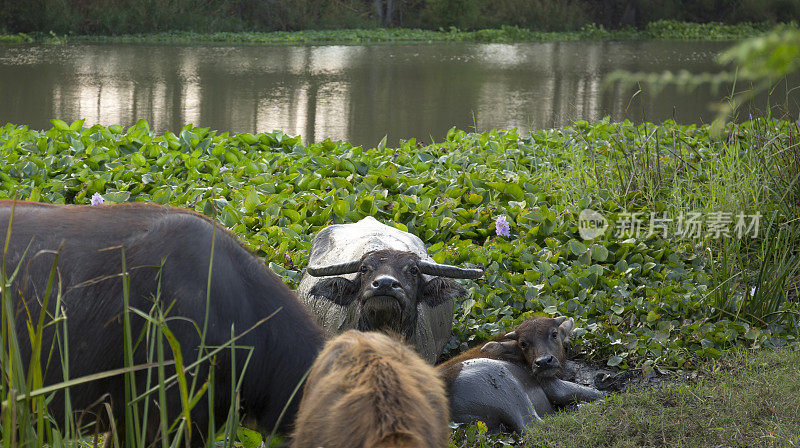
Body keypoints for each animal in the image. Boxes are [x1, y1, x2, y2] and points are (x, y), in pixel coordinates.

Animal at [438, 316, 600, 432]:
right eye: (523, 343)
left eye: (554, 334)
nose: (543, 362)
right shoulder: (552, 384)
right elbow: (594, 392)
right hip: (505, 386)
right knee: (532, 425)